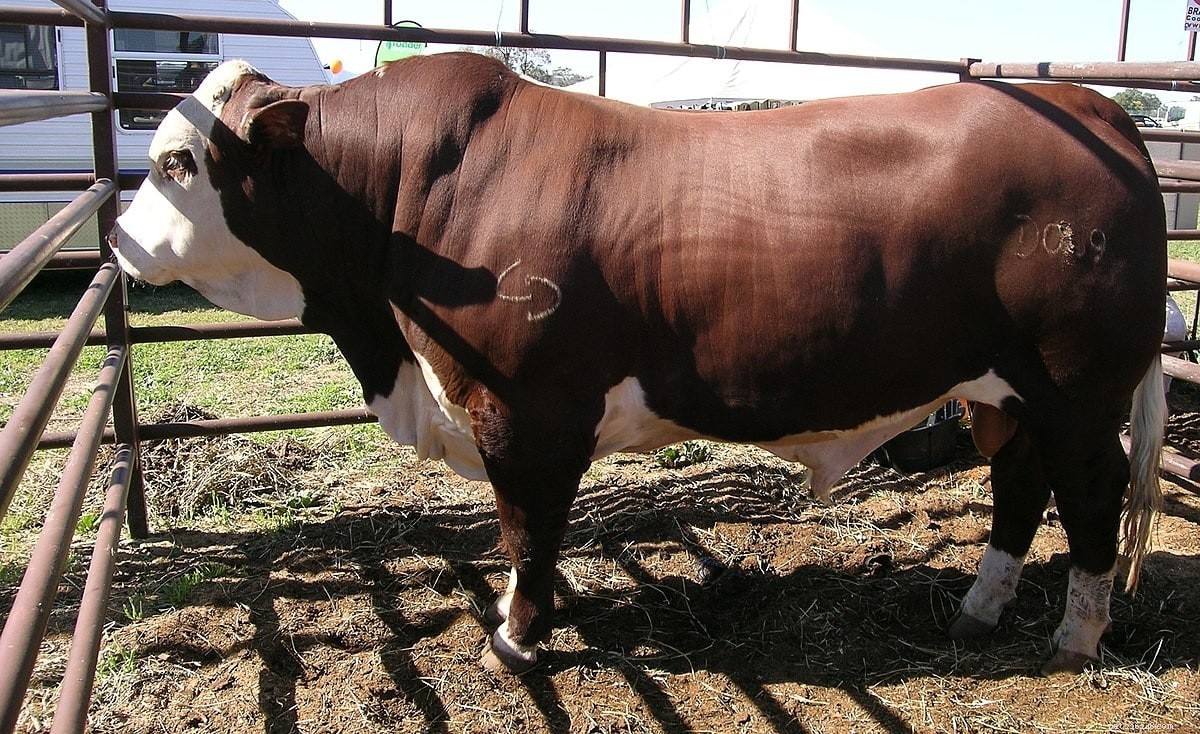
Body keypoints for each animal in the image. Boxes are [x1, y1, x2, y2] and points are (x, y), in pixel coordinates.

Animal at [110, 52, 1168, 676]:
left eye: (176, 164)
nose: (116, 240)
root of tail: (1088, 104)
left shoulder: (526, 414)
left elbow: (528, 531)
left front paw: (515, 639)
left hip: (1077, 387)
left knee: (1090, 492)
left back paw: (1075, 635)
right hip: (1013, 394)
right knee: (1022, 484)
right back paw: (978, 610)